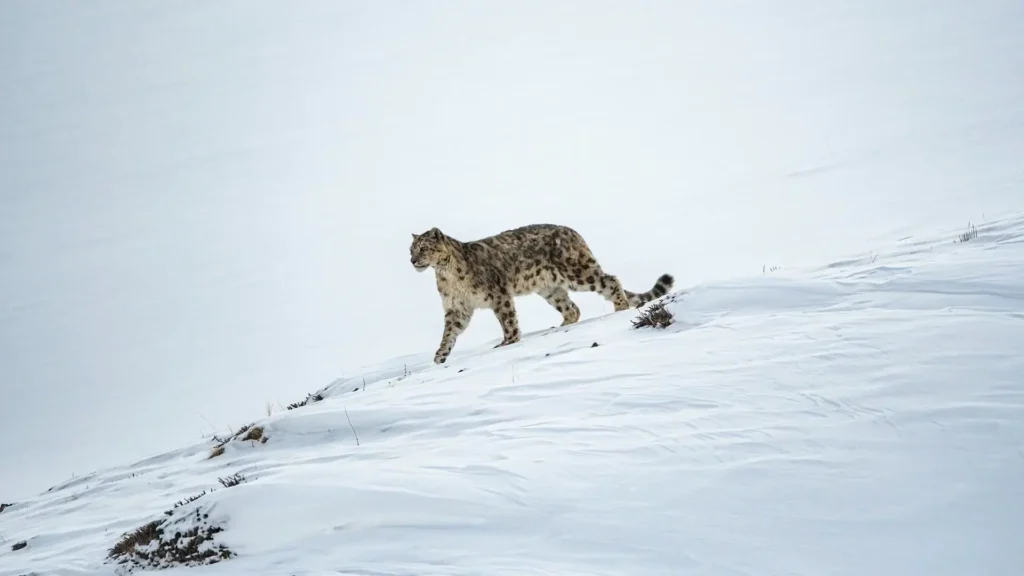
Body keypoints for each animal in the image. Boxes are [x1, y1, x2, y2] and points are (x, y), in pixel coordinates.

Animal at [410, 223, 674, 364]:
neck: (446, 275)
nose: (412, 261)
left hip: (578, 273)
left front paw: (508, 342)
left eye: (423, 248)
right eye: (411, 249)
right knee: (572, 308)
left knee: (610, 280)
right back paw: (560, 326)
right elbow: (450, 332)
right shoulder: (457, 307)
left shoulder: (499, 295)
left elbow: (508, 321)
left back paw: (620, 308)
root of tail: (573, 233)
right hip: (550, 289)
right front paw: (440, 355)